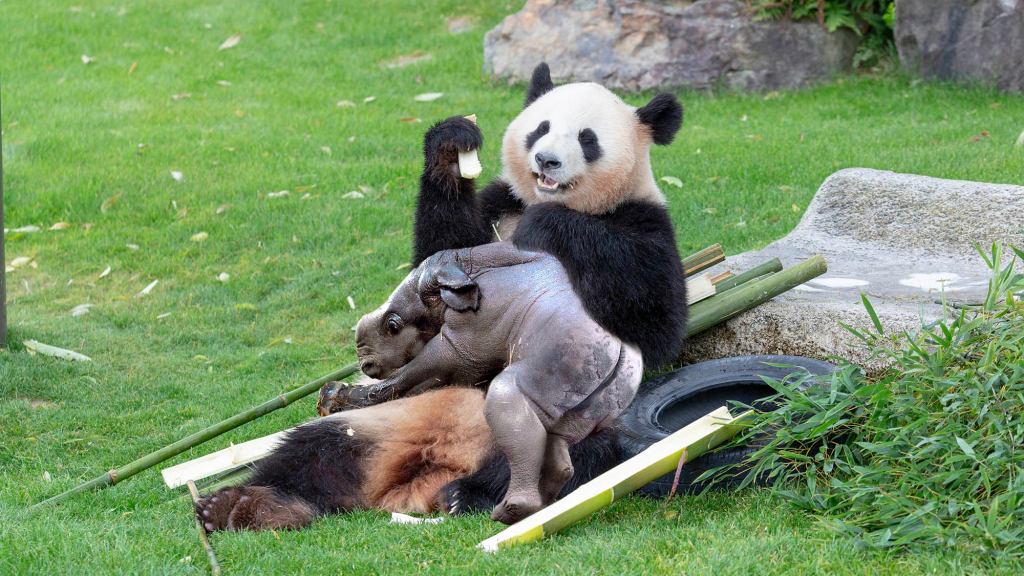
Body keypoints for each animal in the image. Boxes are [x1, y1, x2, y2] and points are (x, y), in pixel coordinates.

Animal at [192, 66, 688, 528]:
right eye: (540, 128)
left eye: (587, 139)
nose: (546, 161)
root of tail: (433, 468)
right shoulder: (496, 206)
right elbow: (438, 246)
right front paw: (453, 145)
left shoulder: (643, 224)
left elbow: (654, 322)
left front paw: (549, 225)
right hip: (389, 421)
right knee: (314, 452)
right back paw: (244, 505)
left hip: (580, 413)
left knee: (578, 452)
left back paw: (471, 494)